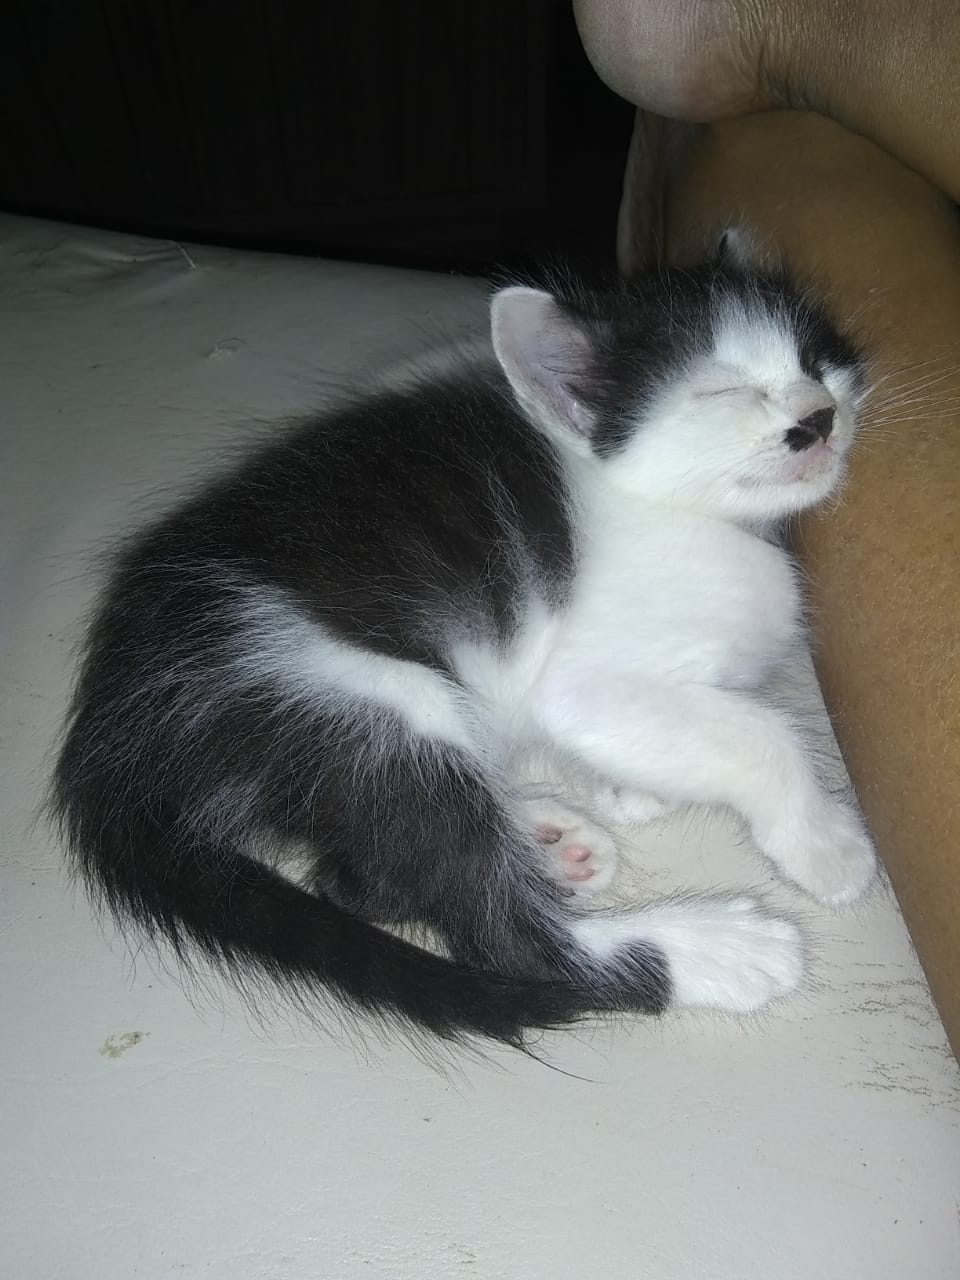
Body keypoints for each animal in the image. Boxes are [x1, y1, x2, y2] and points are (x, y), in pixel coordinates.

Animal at [52, 229, 877, 1048]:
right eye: (720, 392)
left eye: (816, 362)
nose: (817, 418)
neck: (684, 514)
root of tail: (111, 726)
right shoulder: (586, 679)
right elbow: (758, 733)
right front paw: (824, 844)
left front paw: (628, 788)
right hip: (350, 689)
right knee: (495, 932)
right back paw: (716, 948)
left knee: (364, 876)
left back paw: (549, 837)